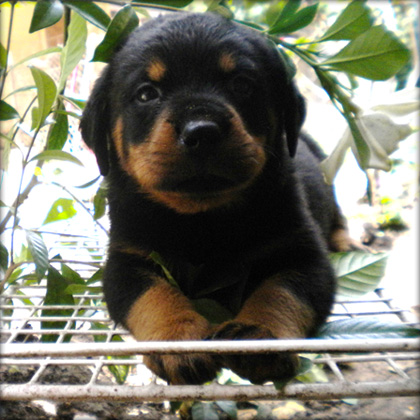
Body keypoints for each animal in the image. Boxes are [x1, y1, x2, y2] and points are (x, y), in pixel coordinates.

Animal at [80, 11, 350, 386]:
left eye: (241, 85)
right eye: (147, 94)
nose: (202, 132)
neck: (203, 218)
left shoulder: (302, 254)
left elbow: (279, 292)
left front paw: (259, 334)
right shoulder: (127, 261)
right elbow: (153, 295)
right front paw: (179, 339)